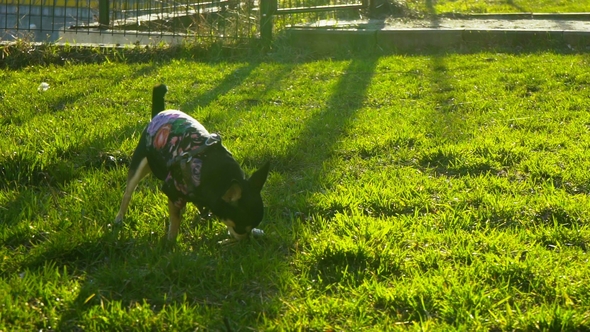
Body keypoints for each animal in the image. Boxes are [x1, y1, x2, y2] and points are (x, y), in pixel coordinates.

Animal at [115, 85, 270, 241]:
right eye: (240, 228)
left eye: (251, 228)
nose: (247, 240)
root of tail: (159, 113)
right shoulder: (172, 192)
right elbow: (175, 221)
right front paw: (171, 241)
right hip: (139, 164)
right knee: (128, 193)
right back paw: (119, 219)